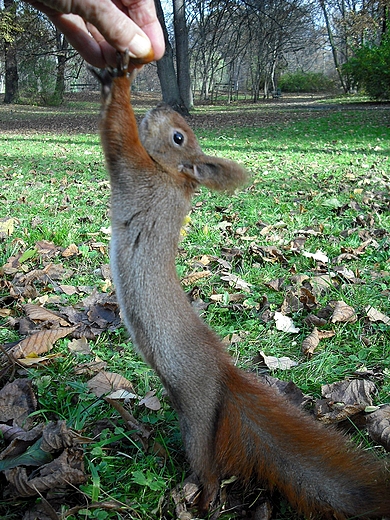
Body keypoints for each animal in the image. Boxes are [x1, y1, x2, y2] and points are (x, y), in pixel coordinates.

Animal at [94, 53, 390, 520]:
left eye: (178, 136)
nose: (160, 107)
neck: (172, 175)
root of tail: (223, 376)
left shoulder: (135, 171)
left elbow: (117, 133)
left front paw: (118, 81)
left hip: (196, 415)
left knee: (207, 464)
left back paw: (206, 497)